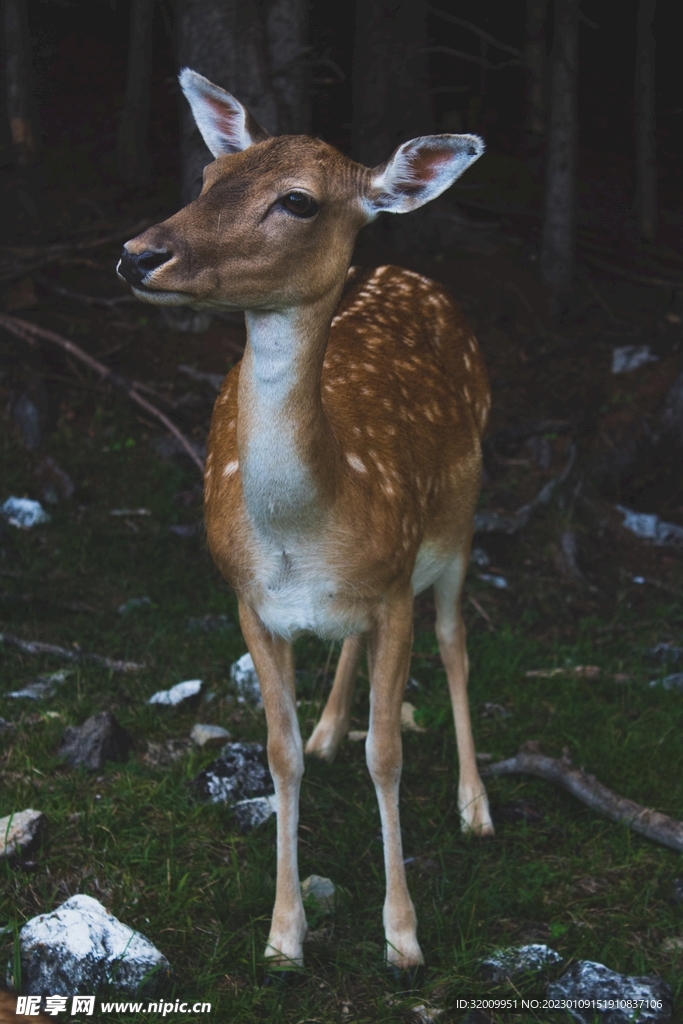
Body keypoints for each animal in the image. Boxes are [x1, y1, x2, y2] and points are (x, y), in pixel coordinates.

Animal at [117, 68, 494, 975]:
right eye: (210, 176)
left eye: (297, 201)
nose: (139, 254)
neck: (306, 528)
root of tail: (410, 273)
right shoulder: (250, 600)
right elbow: (277, 754)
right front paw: (284, 935)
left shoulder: (393, 586)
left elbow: (387, 753)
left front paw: (402, 936)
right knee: (354, 653)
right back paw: (329, 729)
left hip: (458, 522)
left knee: (454, 640)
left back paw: (475, 808)